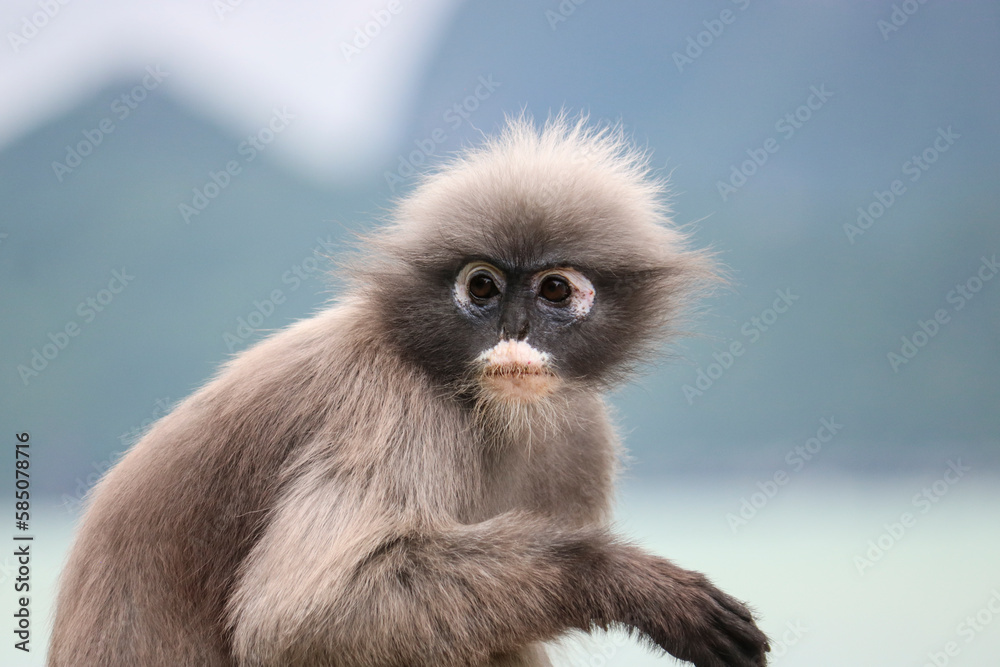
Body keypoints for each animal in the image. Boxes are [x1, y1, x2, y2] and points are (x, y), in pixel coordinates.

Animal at [49, 115, 770, 667]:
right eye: (482, 286)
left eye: (555, 290)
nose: (513, 329)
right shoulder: (385, 401)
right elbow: (304, 618)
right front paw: (621, 578)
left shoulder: (581, 434)